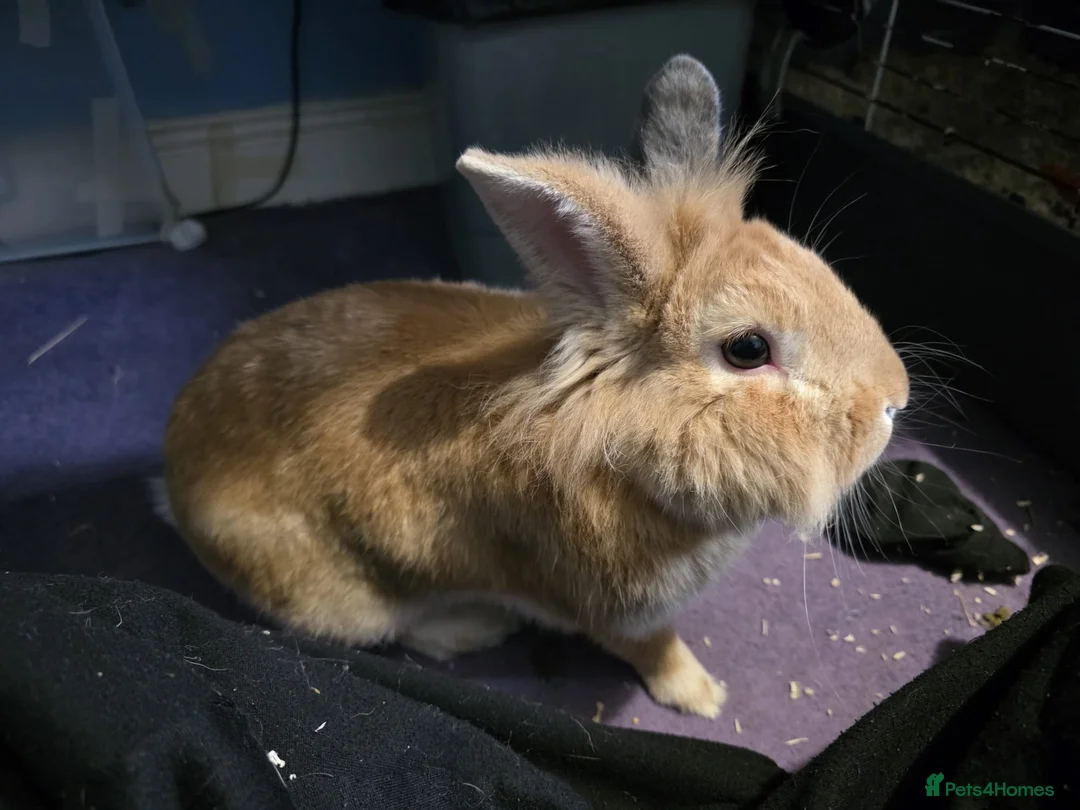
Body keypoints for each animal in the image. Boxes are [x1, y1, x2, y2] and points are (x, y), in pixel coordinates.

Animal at [158, 54, 909, 719]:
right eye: (748, 349)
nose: (894, 402)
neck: (619, 452)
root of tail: (172, 479)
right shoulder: (615, 608)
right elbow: (656, 650)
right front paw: (703, 697)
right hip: (352, 601)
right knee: (399, 630)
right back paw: (475, 629)